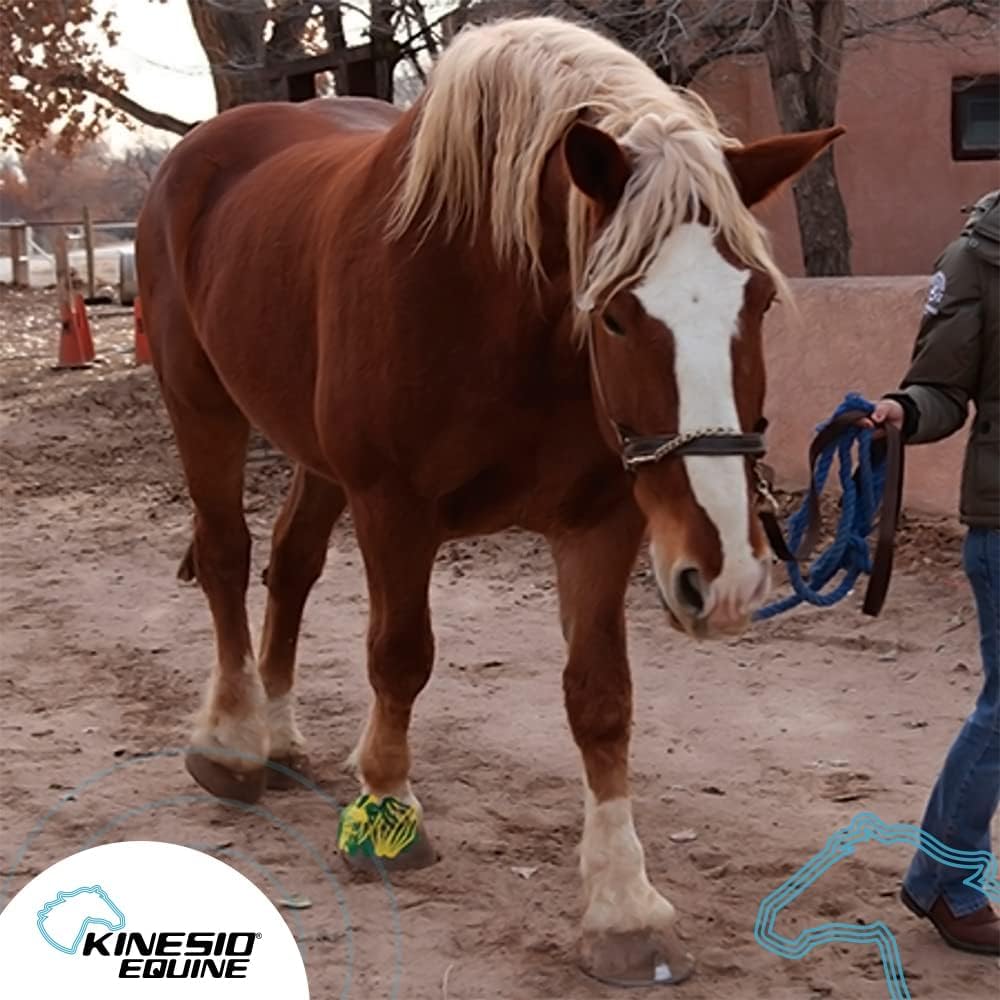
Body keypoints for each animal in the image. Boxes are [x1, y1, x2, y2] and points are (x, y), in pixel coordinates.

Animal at [136, 15, 842, 985]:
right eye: (616, 313)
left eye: (762, 300)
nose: (730, 576)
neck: (493, 301)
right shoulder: (393, 506)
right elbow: (400, 657)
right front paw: (386, 812)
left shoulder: (602, 521)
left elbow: (601, 698)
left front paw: (623, 907)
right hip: (201, 408)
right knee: (226, 555)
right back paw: (232, 743)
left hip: (315, 459)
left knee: (291, 563)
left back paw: (276, 736)